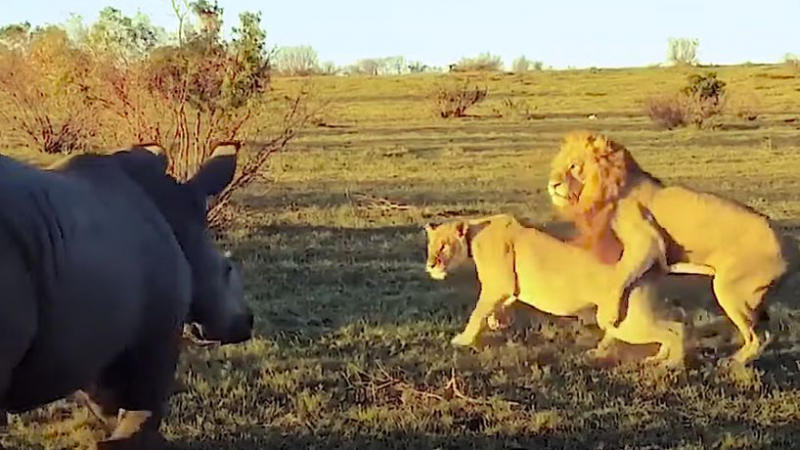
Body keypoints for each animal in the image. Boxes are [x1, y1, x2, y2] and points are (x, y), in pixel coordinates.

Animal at [422, 214, 684, 366]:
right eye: (430, 246)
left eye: (443, 246)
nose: (430, 264)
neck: (473, 234)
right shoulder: (507, 289)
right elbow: (496, 309)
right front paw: (498, 322)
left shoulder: (498, 285)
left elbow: (477, 314)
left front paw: (463, 339)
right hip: (629, 319)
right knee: (676, 325)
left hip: (626, 322)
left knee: (673, 331)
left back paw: (671, 364)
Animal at [544, 130, 800, 366]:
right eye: (557, 166)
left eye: (574, 166)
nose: (552, 184)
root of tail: (790, 245)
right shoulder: (654, 262)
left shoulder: (644, 243)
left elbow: (619, 280)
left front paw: (610, 316)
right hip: (754, 298)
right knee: (768, 332)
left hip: (731, 290)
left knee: (758, 337)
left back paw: (731, 361)